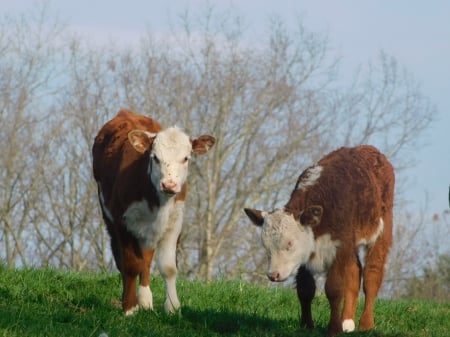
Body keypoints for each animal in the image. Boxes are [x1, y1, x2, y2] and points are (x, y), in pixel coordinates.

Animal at [92, 109, 215, 314]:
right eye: (155, 157)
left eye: (186, 158)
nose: (169, 184)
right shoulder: (123, 221)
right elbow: (130, 265)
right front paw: (129, 307)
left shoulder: (174, 222)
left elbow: (168, 268)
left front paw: (172, 307)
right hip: (109, 217)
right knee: (123, 260)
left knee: (146, 259)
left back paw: (145, 299)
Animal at [244, 145, 396, 336]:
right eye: (266, 246)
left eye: (290, 243)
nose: (273, 275)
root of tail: (369, 149)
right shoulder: (308, 254)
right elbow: (305, 289)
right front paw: (306, 326)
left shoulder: (338, 248)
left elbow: (334, 289)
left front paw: (334, 328)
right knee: (354, 273)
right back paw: (347, 323)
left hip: (381, 231)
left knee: (371, 276)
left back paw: (366, 324)